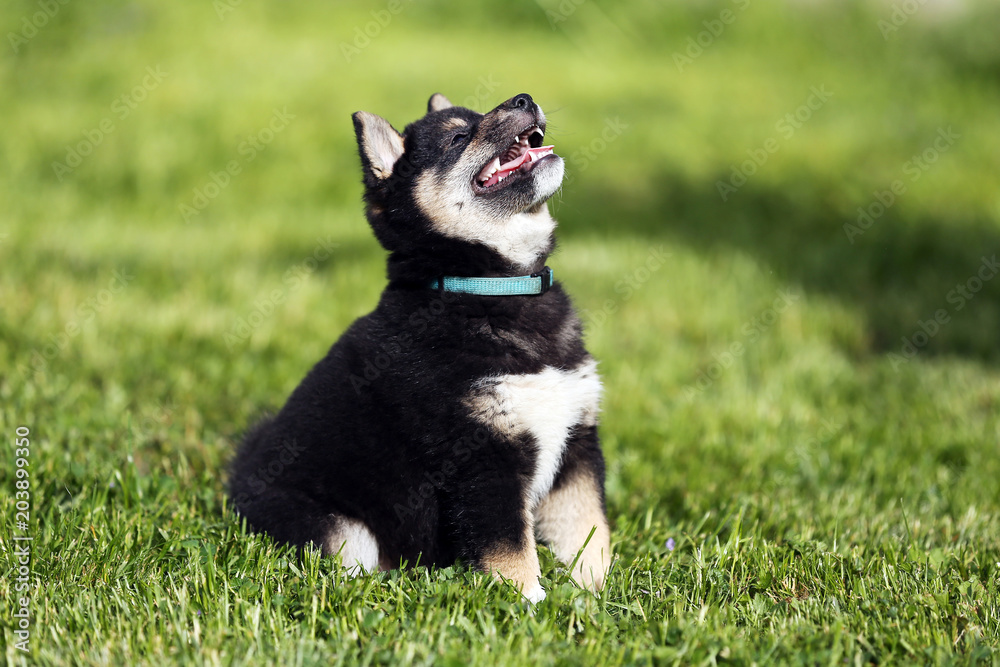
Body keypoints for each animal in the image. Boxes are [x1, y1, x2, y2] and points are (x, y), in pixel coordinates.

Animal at [230, 91, 608, 604]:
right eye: (457, 137)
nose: (524, 98)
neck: (490, 286)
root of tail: (236, 488)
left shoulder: (577, 443)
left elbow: (589, 533)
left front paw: (599, 597)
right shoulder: (480, 458)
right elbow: (510, 549)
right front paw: (528, 606)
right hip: (339, 529)